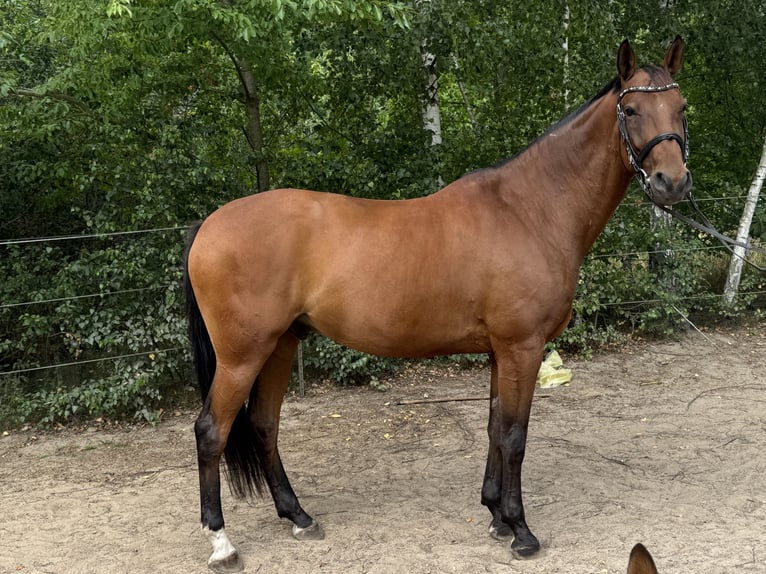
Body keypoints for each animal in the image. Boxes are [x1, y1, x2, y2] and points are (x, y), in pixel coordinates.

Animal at [184, 37, 691, 572]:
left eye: (681, 107)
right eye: (631, 109)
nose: (672, 182)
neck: (530, 210)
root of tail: (208, 224)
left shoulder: (501, 352)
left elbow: (494, 426)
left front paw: (495, 515)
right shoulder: (523, 348)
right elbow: (515, 435)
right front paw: (521, 530)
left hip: (281, 345)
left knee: (264, 425)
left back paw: (298, 516)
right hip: (242, 357)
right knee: (211, 431)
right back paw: (221, 541)